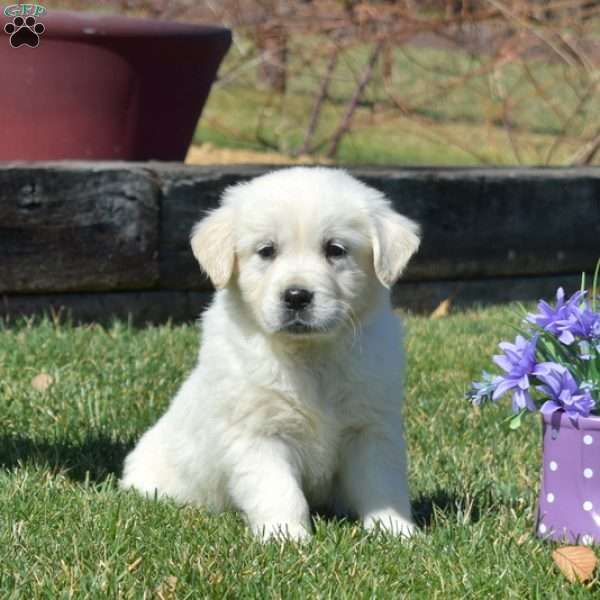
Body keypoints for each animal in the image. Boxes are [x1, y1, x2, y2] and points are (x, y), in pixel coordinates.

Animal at [120, 166, 422, 540]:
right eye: (267, 251)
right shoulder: (258, 433)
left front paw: (395, 531)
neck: (310, 356)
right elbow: (280, 490)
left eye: (335, 250)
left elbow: (382, 484)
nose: (296, 296)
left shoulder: (371, 427)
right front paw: (287, 537)